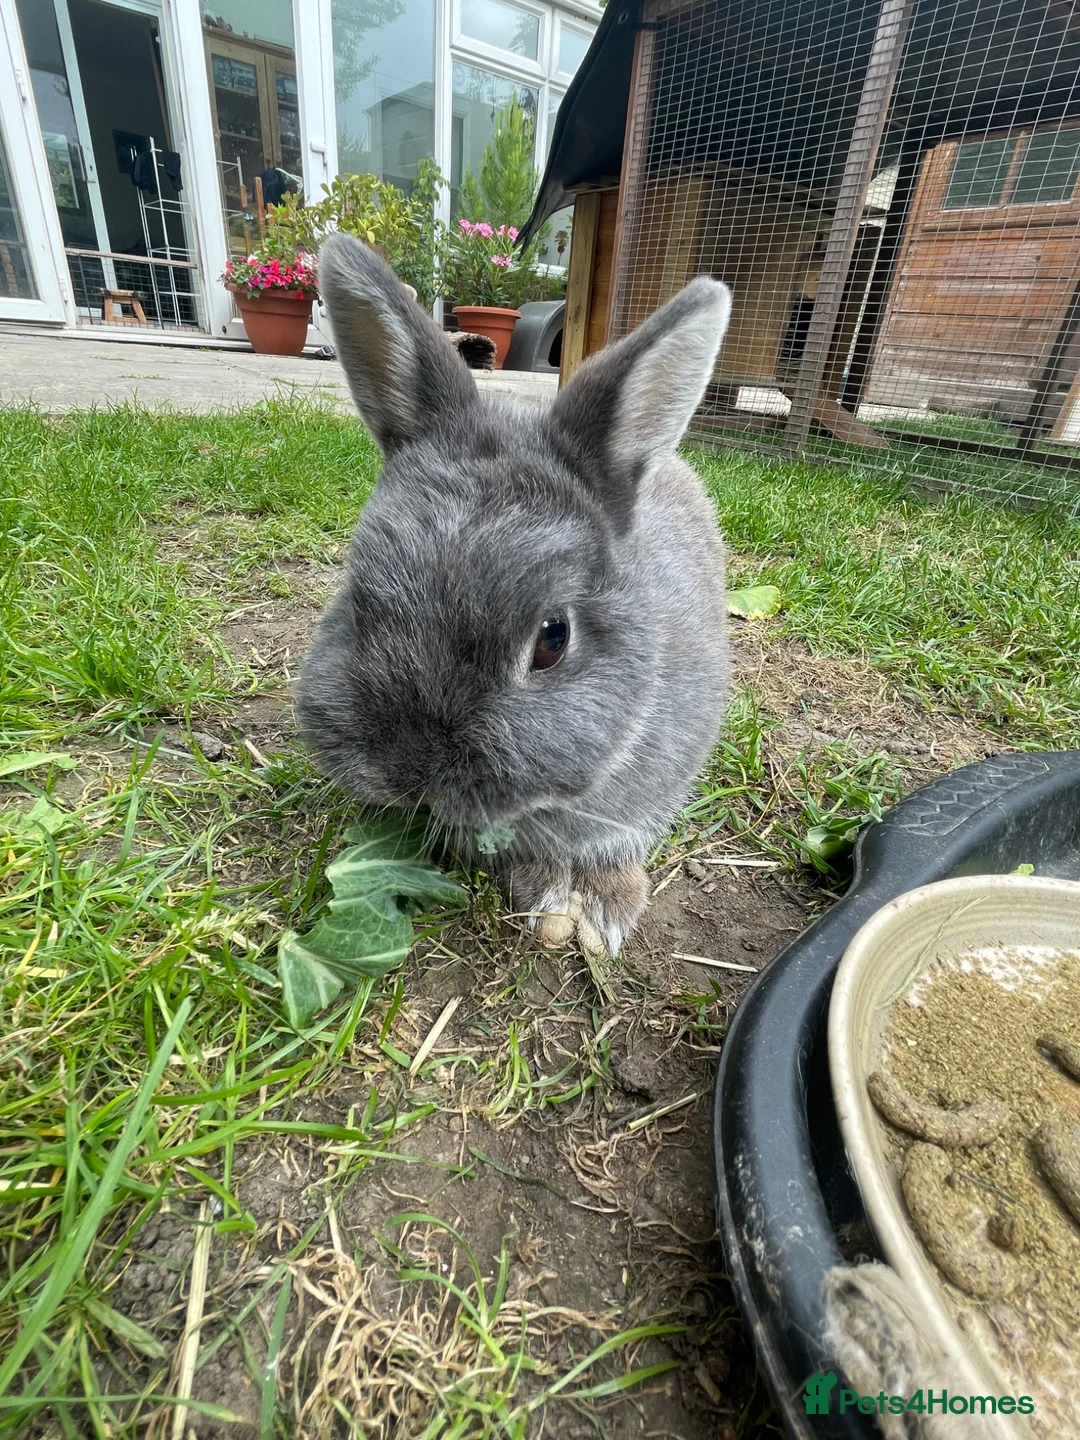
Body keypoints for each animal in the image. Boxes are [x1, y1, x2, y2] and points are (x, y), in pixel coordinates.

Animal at [296, 232, 732, 957]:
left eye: (553, 639)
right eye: (356, 597)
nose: (408, 773)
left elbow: (622, 841)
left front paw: (607, 907)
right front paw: (541, 887)